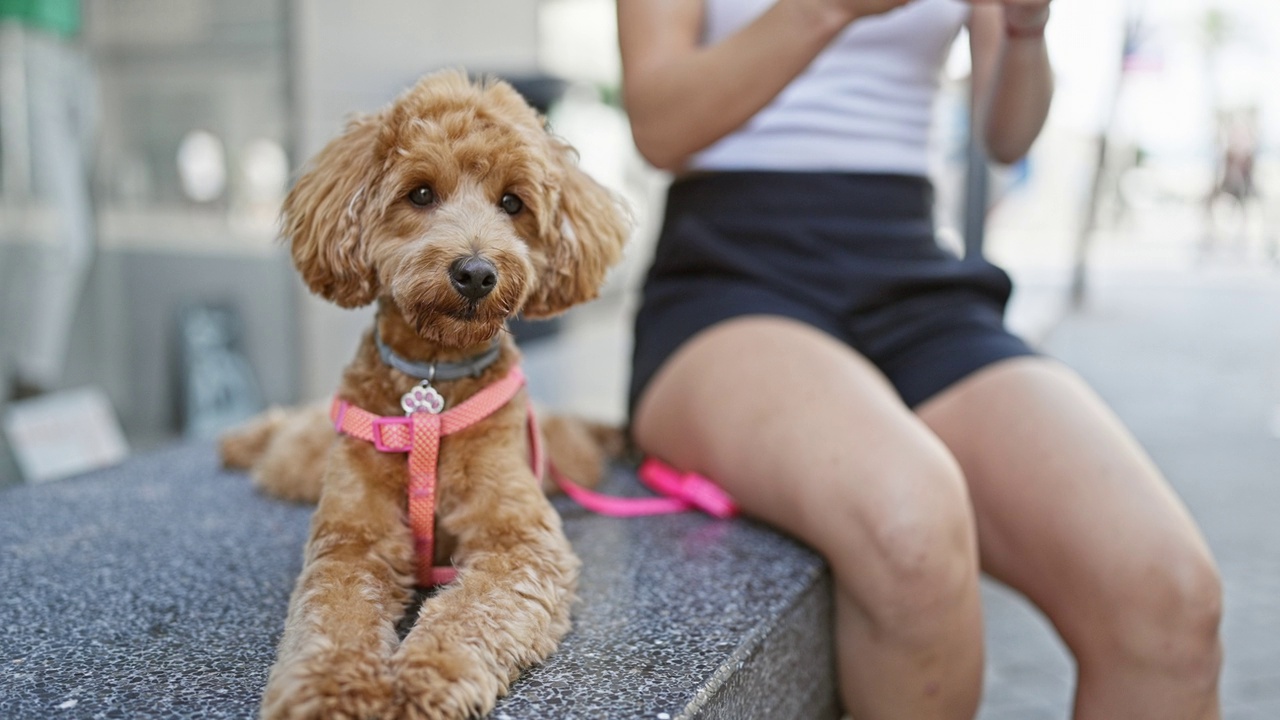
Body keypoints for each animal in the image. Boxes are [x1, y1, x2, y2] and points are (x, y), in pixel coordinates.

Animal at [222, 68, 632, 717]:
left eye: (512, 203)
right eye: (419, 194)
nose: (476, 272)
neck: (432, 391)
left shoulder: (519, 539)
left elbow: (473, 611)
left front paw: (426, 678)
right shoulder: (352, 538)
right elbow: (331, 616)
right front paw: (332, 688)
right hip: (307, 458)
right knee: (283, 435)